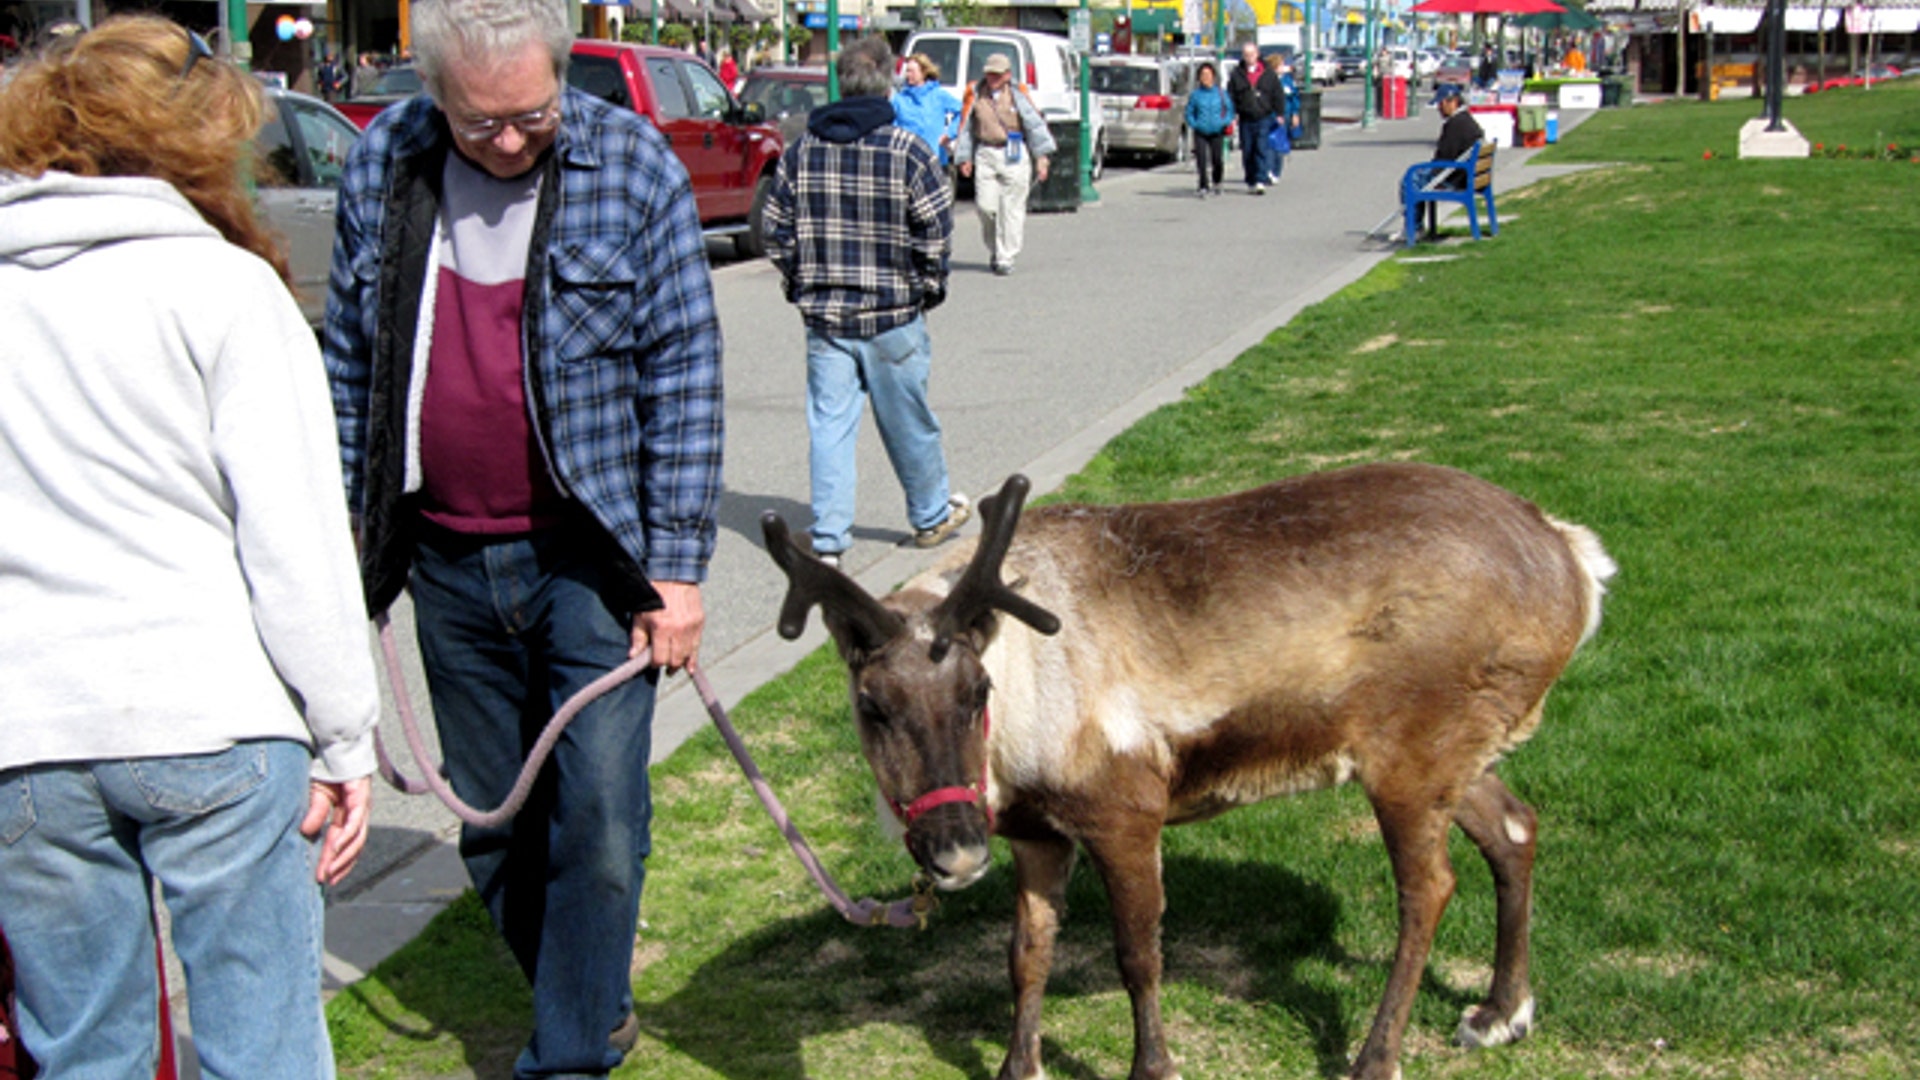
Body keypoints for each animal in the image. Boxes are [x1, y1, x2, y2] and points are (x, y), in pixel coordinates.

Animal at [759, 463, 1616, 1080]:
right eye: (871, 703)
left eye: (976, 692)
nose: (957, 849)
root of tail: (1575, 562)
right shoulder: (1039, 834)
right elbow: (1025, 955)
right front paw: (1017, 1067)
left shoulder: (1125, 812)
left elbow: (1139, 955)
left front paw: (1154, 1067)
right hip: (1449, 756)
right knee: (1515, 828)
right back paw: (1501, 1013)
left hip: (1411, 755)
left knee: (1429, 888)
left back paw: (1378, 1059)